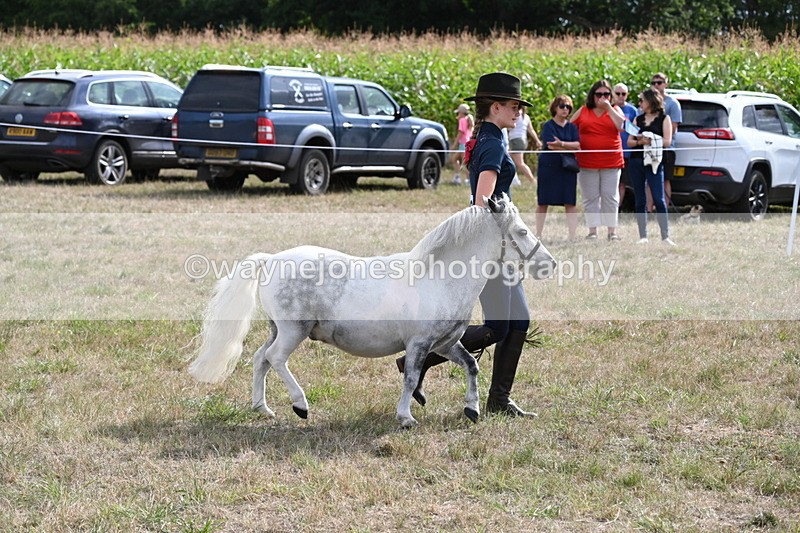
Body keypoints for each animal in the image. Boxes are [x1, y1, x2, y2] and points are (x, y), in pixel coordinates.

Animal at [188, 194, 556, 428]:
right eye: (522, 231)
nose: (550, 264)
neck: (438, 277)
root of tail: (271, 259)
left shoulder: (446, 343)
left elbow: (471, 366)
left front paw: (472, 409)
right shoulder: (419, 343)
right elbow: (410, 377)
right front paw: (406, 417)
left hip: (278, 328)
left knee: (259, 359)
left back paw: (262, 408)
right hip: (294, 330)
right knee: (275, 358)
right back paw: (300, 405)